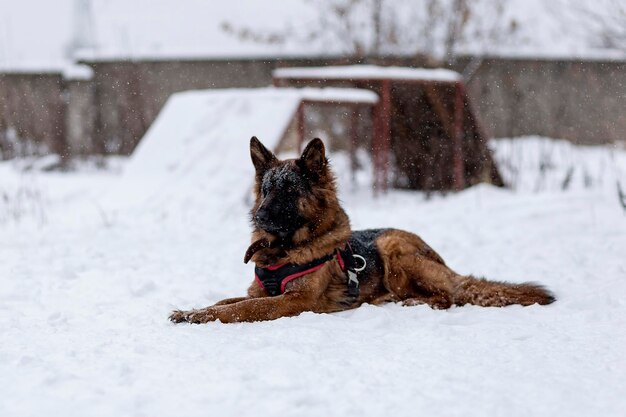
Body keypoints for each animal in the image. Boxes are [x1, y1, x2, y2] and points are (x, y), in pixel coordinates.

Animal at [168, 138, 552, 324]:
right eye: (266, 190)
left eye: (289, 191)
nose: (259, 217)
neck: (285, 250)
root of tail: (443, 263)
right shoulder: (261, 290)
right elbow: (227, 301)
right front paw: (192, 310)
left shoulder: (294, 301)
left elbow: (242, 309)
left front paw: (204, 317)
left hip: (393, 249)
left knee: (448, 297)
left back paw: (412, 301)